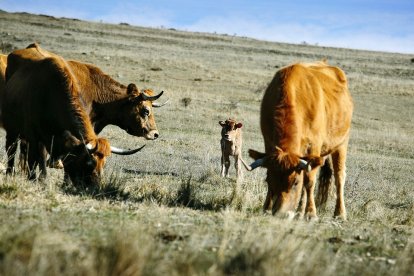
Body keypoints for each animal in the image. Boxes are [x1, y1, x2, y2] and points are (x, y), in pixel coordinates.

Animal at [2, 54, 142, 185]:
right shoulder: (35, 137)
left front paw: (66, 182)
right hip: (12, 131)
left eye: (104, 163)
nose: (96, 186)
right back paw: (10, 172)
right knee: (11, 150)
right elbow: (37, 158)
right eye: (89, 163)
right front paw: (38, 179)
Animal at [247, 61, 354, 221]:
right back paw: (299, 211)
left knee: (339, 177)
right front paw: (266, 207)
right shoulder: (268, 142)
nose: (280, 213)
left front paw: (311, 213)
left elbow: (309, 182)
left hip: (341, 144)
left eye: (295, 183)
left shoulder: (314, 146)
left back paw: (339, 213)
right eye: (269, 180)